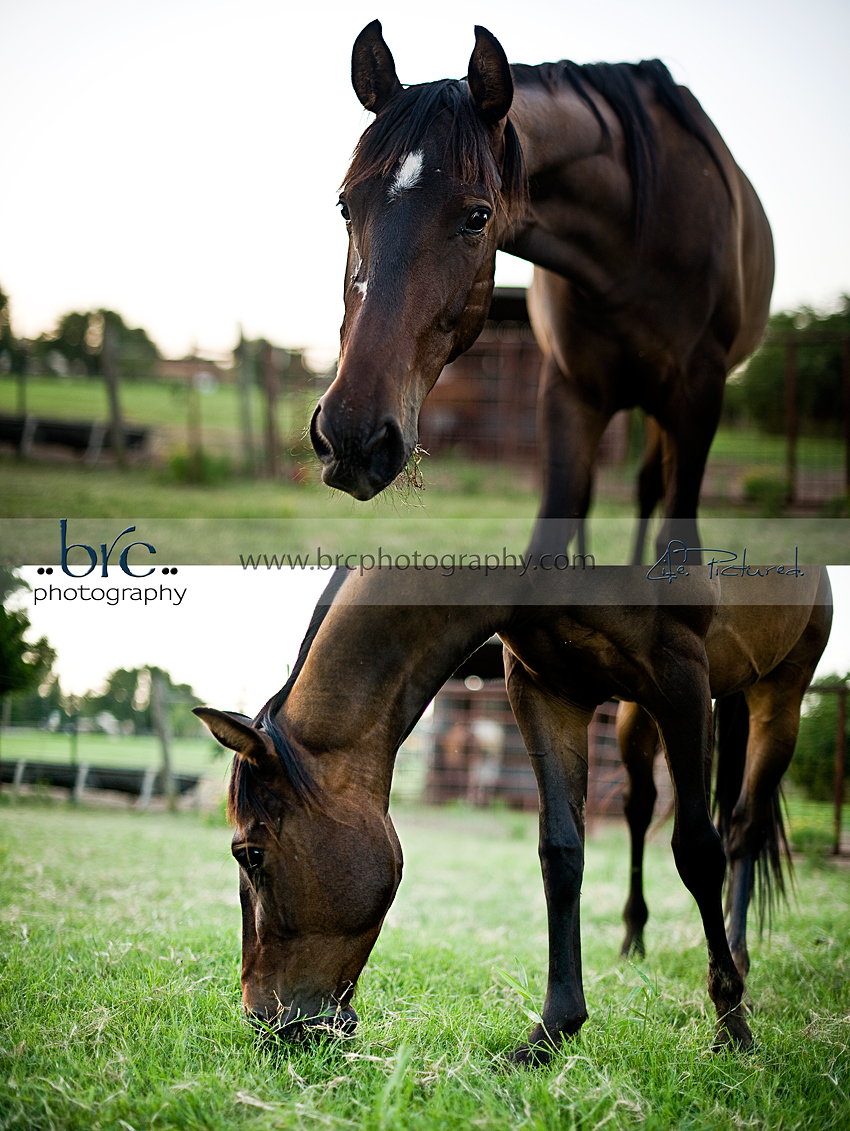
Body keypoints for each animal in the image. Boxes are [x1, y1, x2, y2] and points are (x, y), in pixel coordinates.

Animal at [194, 562, 829, 1063]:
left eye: (250, 853)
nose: (262, 1020)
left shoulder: (681, 673)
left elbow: (697, 849)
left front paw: (732, 1027)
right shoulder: (545, 687)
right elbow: (562, 851)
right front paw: (554, 1030)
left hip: (779, 692)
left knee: (742, 828)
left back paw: (739, 962)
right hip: (638, 713)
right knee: (639, 807)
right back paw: (634, 939)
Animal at [309, 22, 773, 559]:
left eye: (478, 218)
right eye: (346, 207)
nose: (352, 434)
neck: (637, 241)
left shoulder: (699, 395)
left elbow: (677, 538)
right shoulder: (567, 392)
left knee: (646, 489)